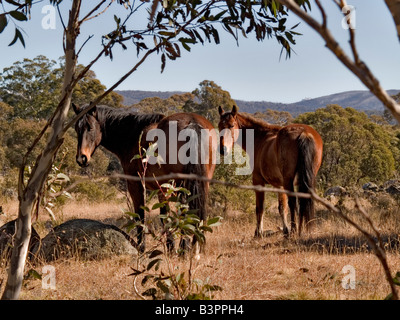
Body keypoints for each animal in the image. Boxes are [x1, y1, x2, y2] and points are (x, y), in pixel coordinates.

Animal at [73, 104, 217, 252]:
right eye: (76, 128)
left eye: (90, 127)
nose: (81, 158)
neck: (132, 135)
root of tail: (192, 123)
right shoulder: (163, 189)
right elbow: (164, 216)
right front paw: (170, 247)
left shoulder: (136, 184)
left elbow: (140, 216)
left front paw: (142, 247)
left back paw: (185, 249)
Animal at [217, 106, 324, 236]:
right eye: (219, 125)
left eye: (232, 125)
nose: (222, 150)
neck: (260, 138)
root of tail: (304, 133)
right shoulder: (280, 186)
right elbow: (282, 208)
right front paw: (285, 230)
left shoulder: (258, 181)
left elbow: (260, 207)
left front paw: (258, 232)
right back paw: (301, 230)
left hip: (288, 180)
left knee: (293, 202)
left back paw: (295, 230)